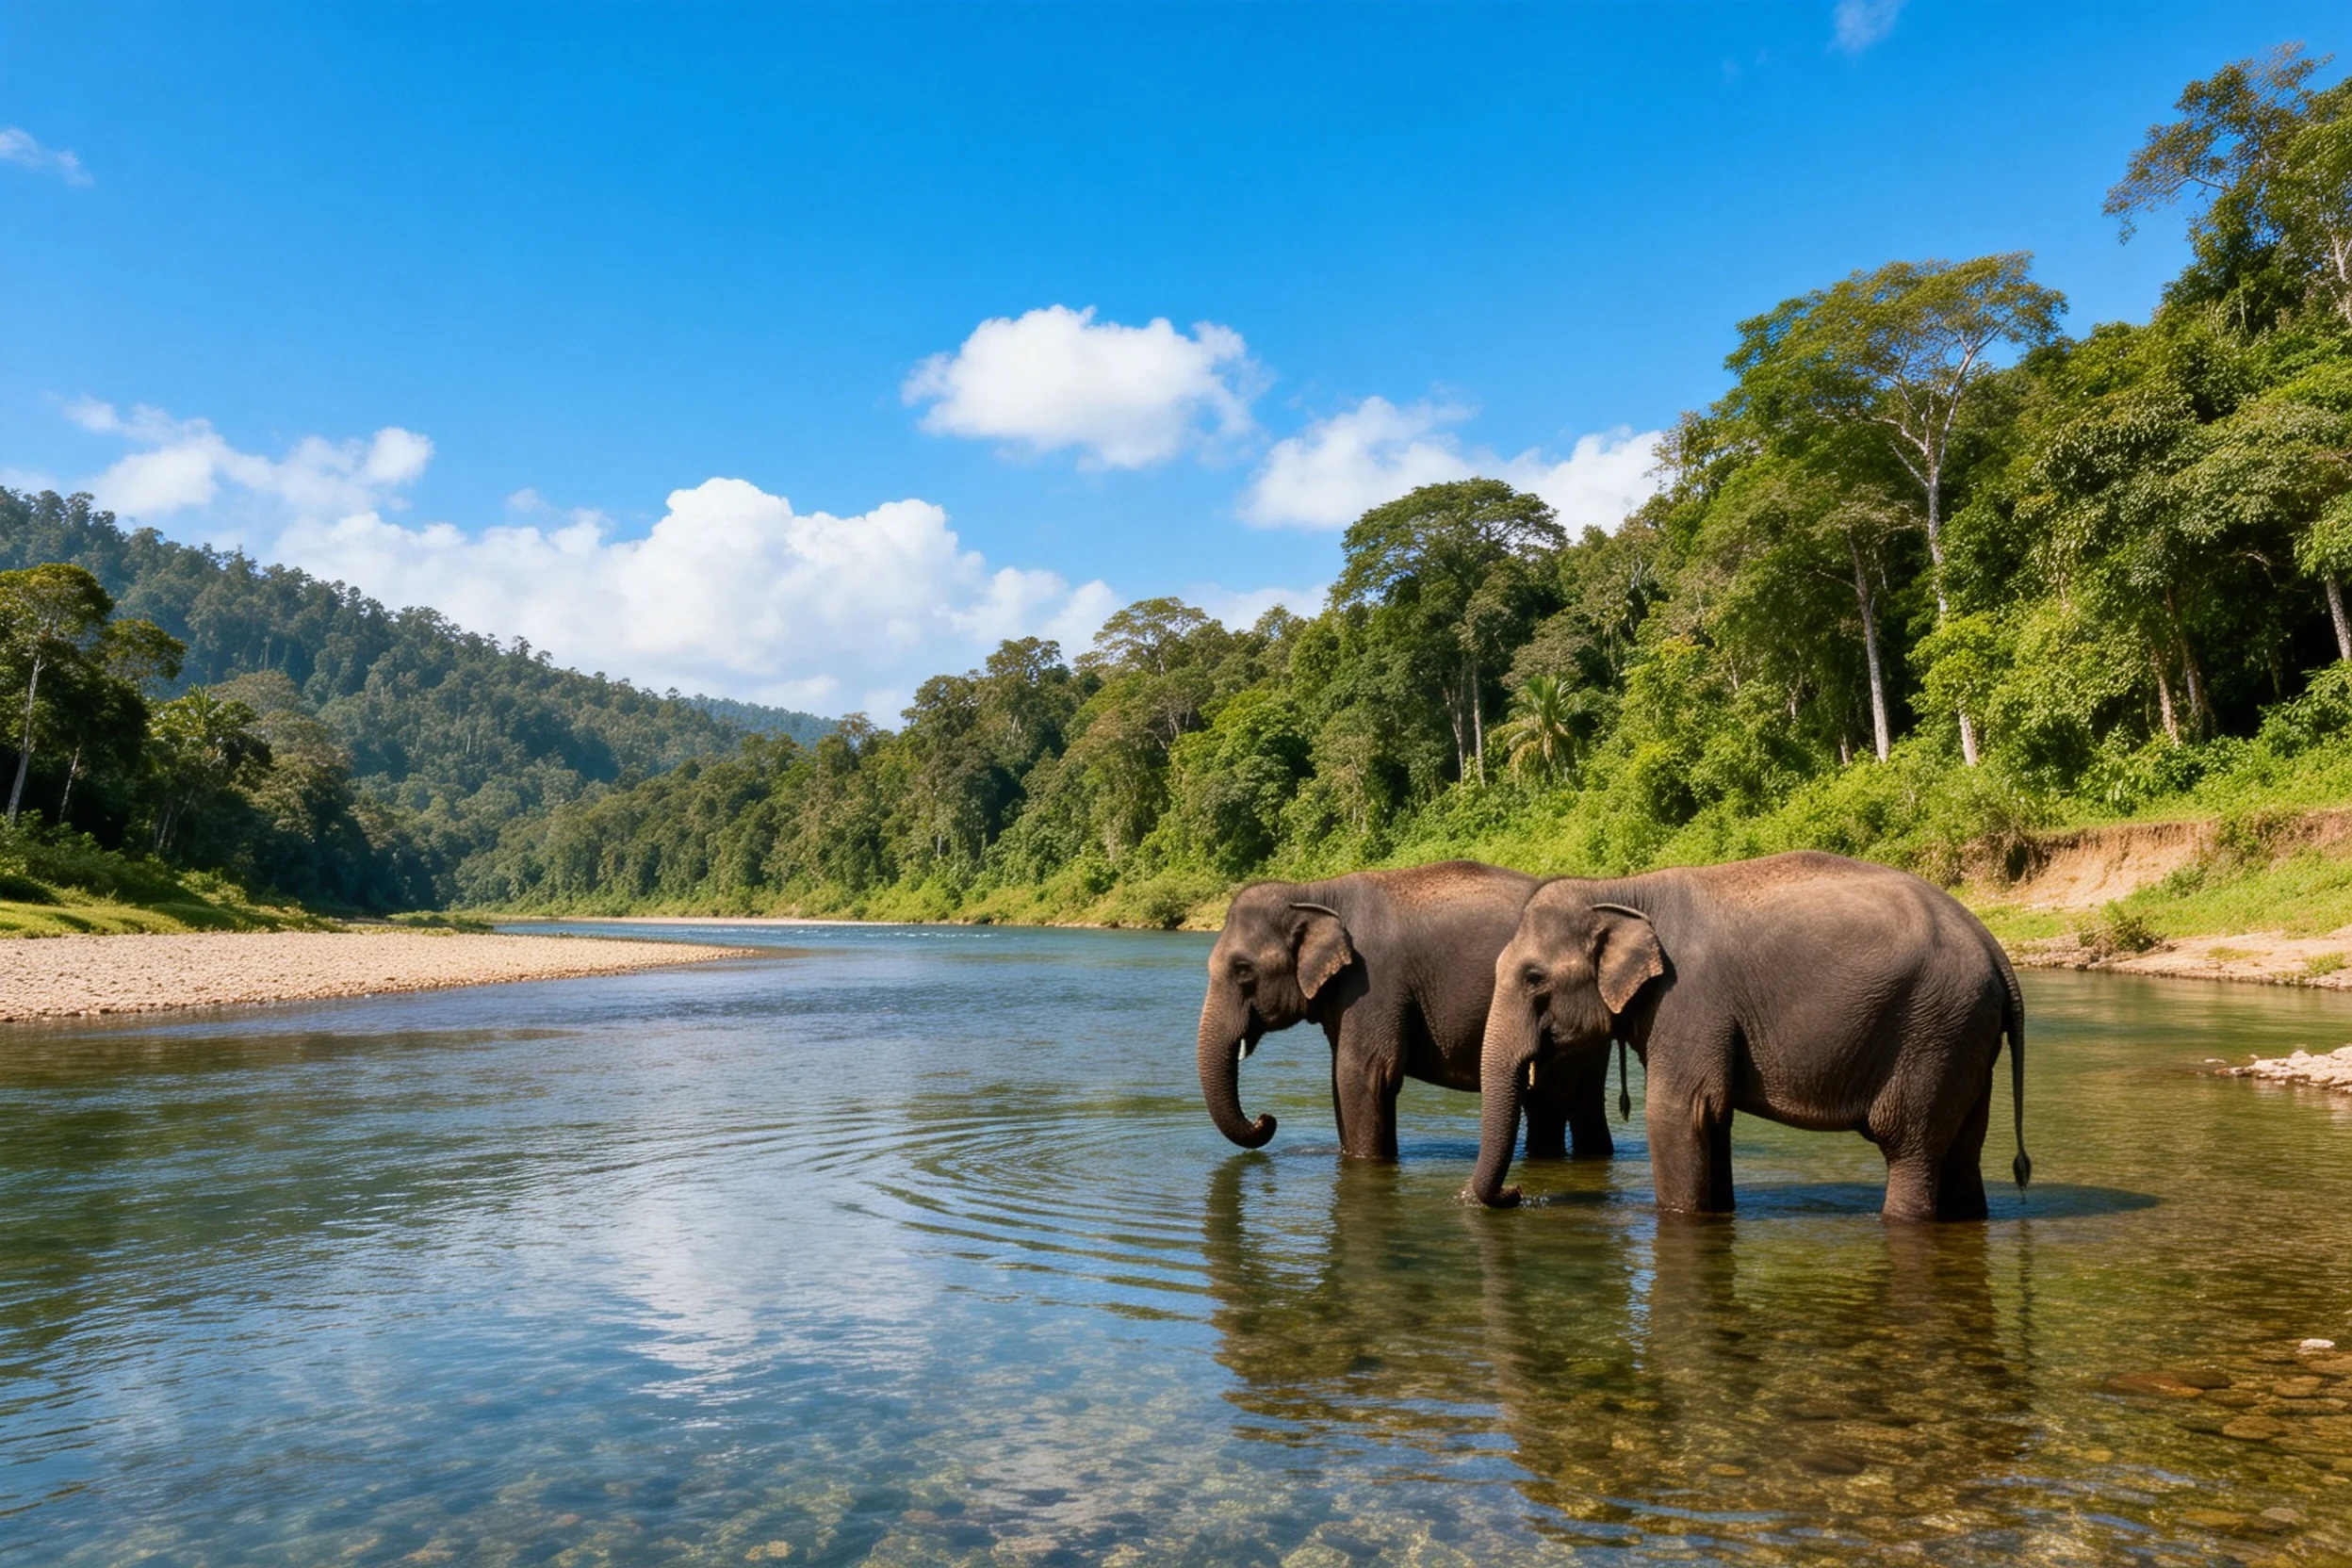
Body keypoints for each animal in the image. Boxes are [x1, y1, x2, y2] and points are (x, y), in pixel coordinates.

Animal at [1197, 861, 1617, 1162]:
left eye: (1243, 969)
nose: (1266, 1119)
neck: (1312, 891)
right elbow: (1340, 1079)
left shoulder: (1372, 980)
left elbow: (1362, 1074)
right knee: (1574, 1104)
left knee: (1552, 1101)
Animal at [1467, 851, 2028, 1220]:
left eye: (1534, 978)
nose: (1519, 1193)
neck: (1621, 888)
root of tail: (1995, 948)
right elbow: (1712, 1118)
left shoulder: (1688, 998)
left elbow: (1677, 1112)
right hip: (1964, 1038)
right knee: (1962, 1153)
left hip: (1933, 1033)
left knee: (1910, 1149)